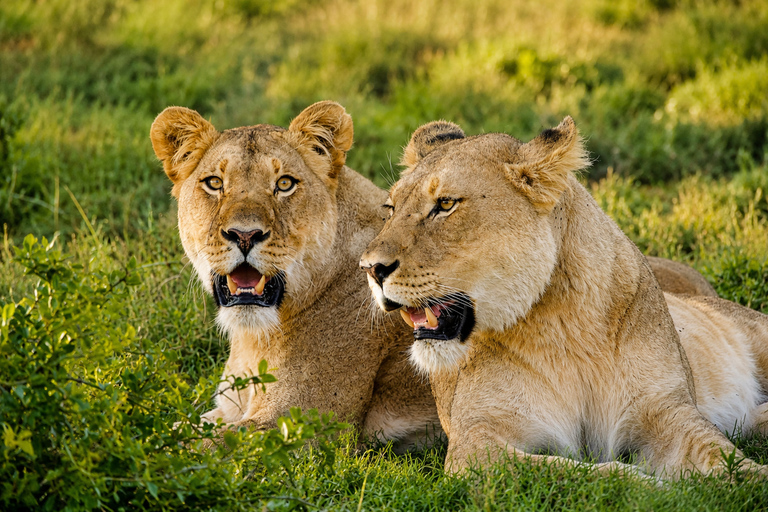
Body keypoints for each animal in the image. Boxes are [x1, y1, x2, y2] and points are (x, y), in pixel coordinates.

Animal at [150, 101, 440, 447]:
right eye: (215, 183)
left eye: (285, 184)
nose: (244, 235)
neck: (254, 338)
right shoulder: (227, 409)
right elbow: (174, 428)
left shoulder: (302, 424)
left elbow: (184, 445)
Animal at [359, 117, 768, 478]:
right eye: (390, 209)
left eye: (445, 205)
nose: (370, 268)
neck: (563, 325)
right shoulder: (476, 444)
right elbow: (579, 474)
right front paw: (647, 483)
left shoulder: (668, 409)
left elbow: (723, 457)